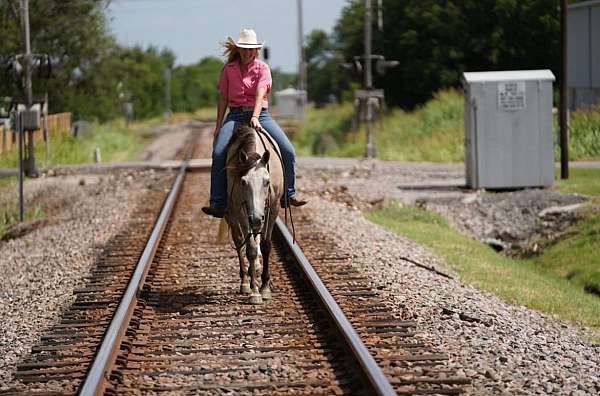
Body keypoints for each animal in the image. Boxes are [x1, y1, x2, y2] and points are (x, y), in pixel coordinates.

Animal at [225, 124, 284, 304]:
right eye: (243, 182)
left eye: (267, 181)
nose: (257, 218)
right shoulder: (241, 209)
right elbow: (249, 248)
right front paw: (255, 291)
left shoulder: (273, 207)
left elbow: (266, 245)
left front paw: (265, 287)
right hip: (233, 212)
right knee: (239, 241)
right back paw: (245, 282)